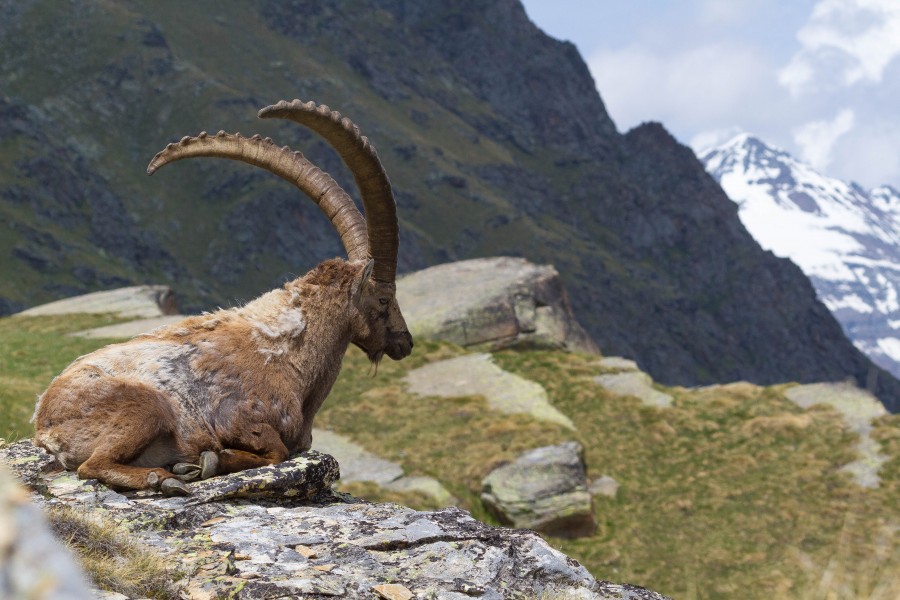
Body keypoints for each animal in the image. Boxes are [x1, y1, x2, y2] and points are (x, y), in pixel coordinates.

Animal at [32, 100, 414, 495]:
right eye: (384, 299)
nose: (406, 342)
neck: (290, 348)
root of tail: (44, 425)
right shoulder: (238, 416)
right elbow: (275, 450)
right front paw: (213, 460)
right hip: (146, 408)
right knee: (91, 466)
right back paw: (166, 476)